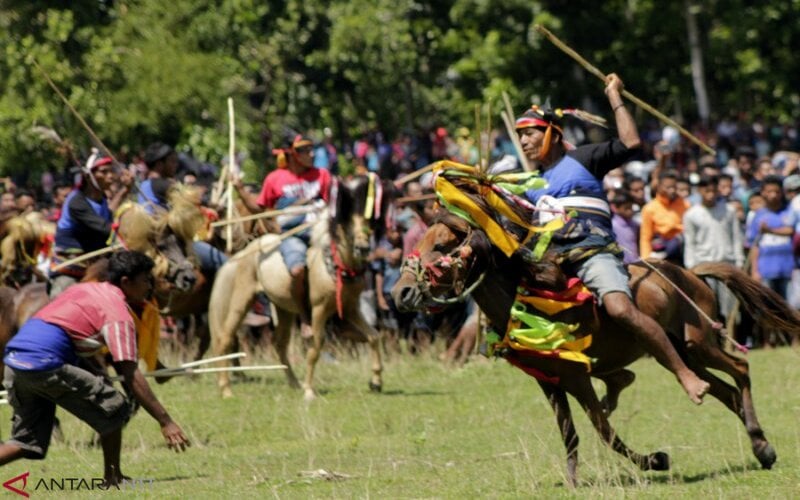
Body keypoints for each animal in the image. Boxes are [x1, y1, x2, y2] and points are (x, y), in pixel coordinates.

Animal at [208, 174, 392, 400]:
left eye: (368, 223)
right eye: (347, 225)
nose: (363, 248)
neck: (335, 265)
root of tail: (241, 254)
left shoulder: (350, 308)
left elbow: (373, 336)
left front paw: (376, 381)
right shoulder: (319, 310)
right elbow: (316, 346)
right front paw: (309, 391)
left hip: (283, 309)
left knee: (279, 343)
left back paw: (294, 383)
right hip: (240, 301)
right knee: (225, 338)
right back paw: (226, 389)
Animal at [390, 211, 796, 484]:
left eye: (441, 246)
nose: (401, 293)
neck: (525, 297)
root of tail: (690, 273)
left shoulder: (576, 376)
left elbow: (603, 430)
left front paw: (656, 460)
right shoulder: (549, 382)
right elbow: (570, 433)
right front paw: (572, 480)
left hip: (697, 343)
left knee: (740, 371)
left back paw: (758, 440)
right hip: (679, 354)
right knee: (726, 391)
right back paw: (761, 448)